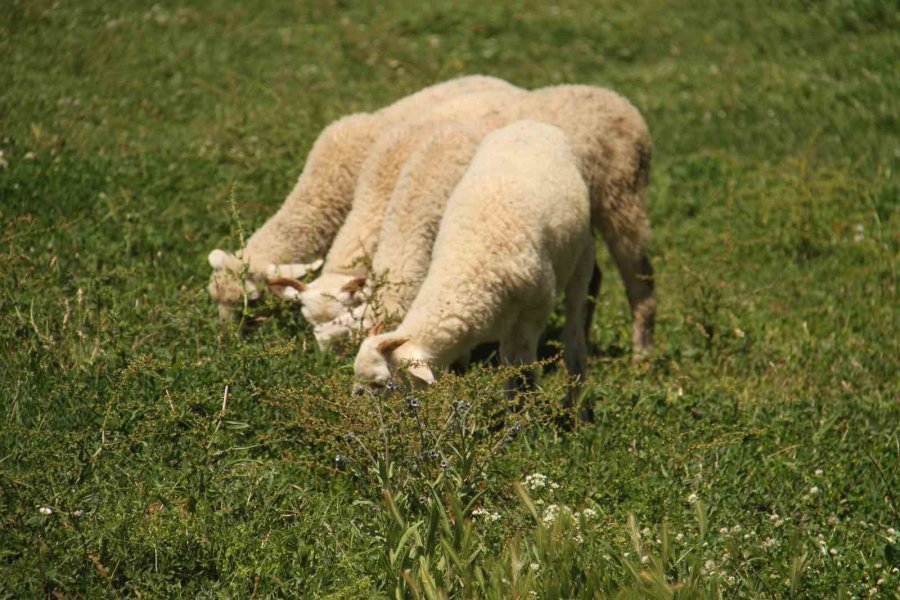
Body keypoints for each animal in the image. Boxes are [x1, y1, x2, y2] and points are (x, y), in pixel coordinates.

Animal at [352, 120, 596, 412]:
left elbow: (523, 370)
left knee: (575, 331)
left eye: (381, 384)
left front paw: (523, 415)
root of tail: (532, 123)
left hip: (582, 258)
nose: (356, 412)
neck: (467, 270)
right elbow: (504, 365)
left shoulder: (532, 313)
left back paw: (577, 404)